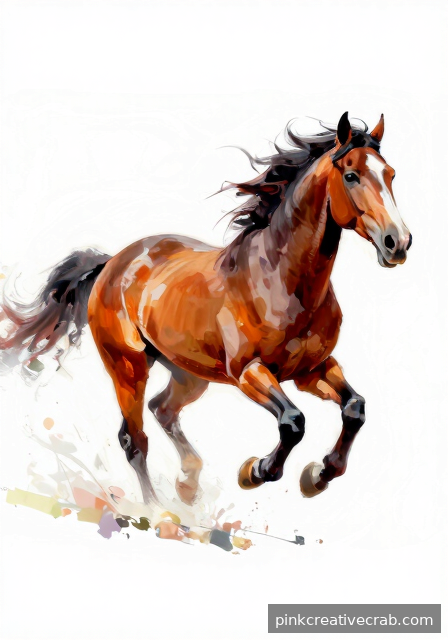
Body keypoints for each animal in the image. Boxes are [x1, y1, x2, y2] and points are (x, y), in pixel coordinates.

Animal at [0, 112, 411, 506]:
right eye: (352, 175)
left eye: (390, 173)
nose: (398, 242)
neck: (282, 282)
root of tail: (112, 262)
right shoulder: (248, 372)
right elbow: (293, 421)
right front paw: (256, 471)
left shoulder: (312, 370)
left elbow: (354, 408)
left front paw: (319, 475)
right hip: (128, 367)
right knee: (134, 439)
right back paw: (159, 510)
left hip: (189, 372)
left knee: (162, 409)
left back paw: (188, 483)